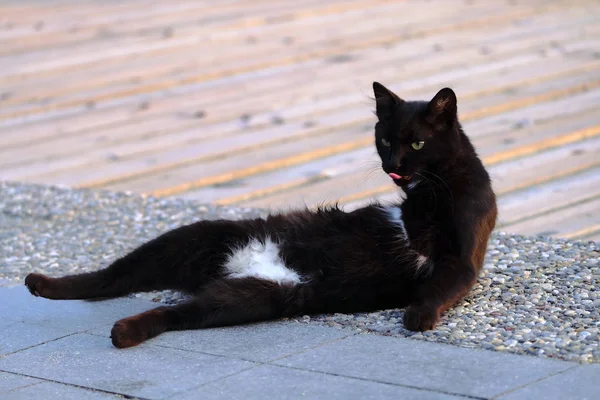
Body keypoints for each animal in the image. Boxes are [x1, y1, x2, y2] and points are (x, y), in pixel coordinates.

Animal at [24, 82, 496, 346]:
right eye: (383, 140)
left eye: (416, 143)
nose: (393, 165)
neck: (433, 190)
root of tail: (233, 268)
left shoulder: (461, 259)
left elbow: (442, 285)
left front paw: (418, 316)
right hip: (195, 236)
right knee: (110, 277)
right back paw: (42, 284)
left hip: (249, 297)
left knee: (170, 310)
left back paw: (122, 331)